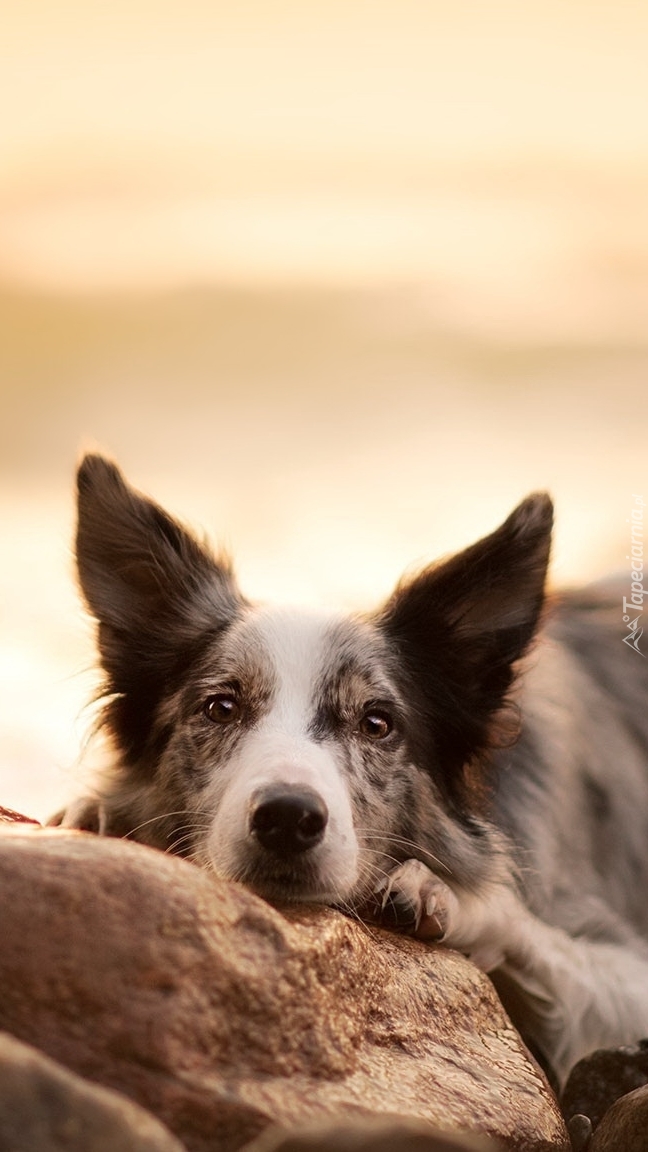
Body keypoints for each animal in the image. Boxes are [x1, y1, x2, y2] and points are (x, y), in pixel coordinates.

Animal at [51, 453, 648, 1082]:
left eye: (376, 723)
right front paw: (96, 814)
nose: (288, 819)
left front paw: (448, 893)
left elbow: (529, 929)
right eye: (220, 707)